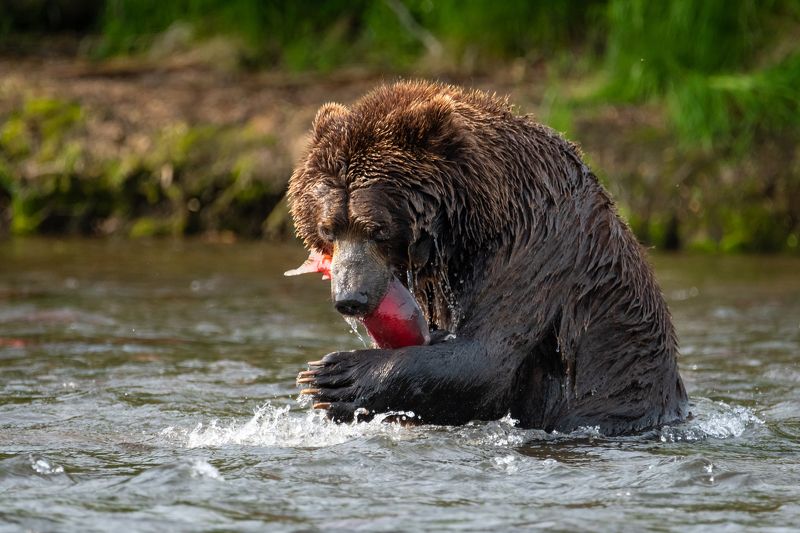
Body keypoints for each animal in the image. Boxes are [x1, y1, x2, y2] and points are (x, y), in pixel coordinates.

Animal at [288, 80, 688, 436]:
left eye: (377, 228)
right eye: (329, 228)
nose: (350, 298)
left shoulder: (535, 249)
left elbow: (485, 362)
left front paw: (334, 376)